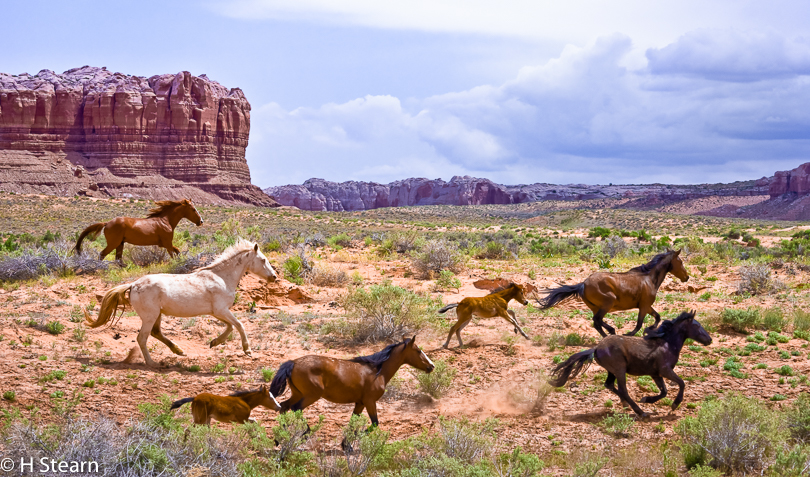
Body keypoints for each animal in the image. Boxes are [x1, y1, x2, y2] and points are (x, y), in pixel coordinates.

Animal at [74, 199, 202, 262]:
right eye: (193, 209)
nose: (201, 221)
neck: (165, 221)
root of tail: (107, 223)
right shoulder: (167, 243)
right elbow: (173, 253)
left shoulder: (164, 244)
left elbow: (178, 251)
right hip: (113, 243)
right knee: (102, 254)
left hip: (120, 243)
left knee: (118, 258)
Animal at [83, 240, 276, 366]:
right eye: (263, 260)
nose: (274, 277)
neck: (221, 278)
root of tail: (133, 285)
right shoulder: (221, 310)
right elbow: (239, 325)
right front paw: (247, 350)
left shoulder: (217, 312)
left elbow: (230, 327)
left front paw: (214, 342)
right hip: (150, 316)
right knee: (142, 338)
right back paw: (152, 363)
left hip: (157, 315)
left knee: (156, 333)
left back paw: (179, 351)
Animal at [270, 336, 436, 426]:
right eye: (418, 351)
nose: (432, 366)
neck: (377, 371)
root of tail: (293, 363)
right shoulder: (370, 401)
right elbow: (374, 424)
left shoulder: (360, 403)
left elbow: (352, 424)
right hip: (311, 396)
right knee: (295, 408)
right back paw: (306, 432)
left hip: (297, 393)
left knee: (284, 407)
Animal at [536, 249, 688, 334]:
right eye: (680, 262)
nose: (686, 277)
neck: (649, 278)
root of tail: (583, 284)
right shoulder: (644, 306)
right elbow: (639, 324)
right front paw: (629, 334)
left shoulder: (647, 306)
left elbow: (657, 317)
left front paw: (651, 328)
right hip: (608, 303)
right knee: (597, 320)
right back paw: (612, 331)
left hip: (596, 307)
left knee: (596, 323)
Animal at [548, 308, 712, 416]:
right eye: (697, 325)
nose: (709, 340)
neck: (667, 344)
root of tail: (596, 349)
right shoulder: (665, 370)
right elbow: (681, 383)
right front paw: (674, 404)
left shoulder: (656, 374)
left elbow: (664, 391)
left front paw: (646, 399)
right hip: (620, 370)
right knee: (623, 390)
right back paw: (640, 412)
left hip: (612, 371)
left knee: (609, 385)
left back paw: (627, 404)